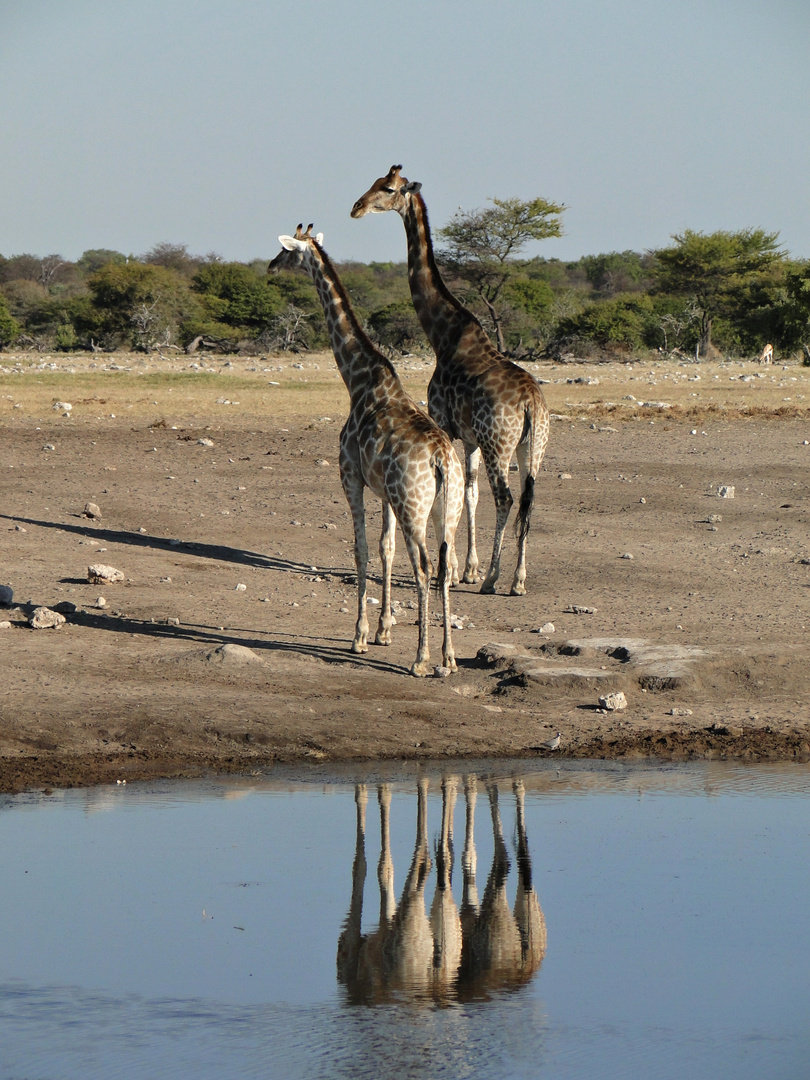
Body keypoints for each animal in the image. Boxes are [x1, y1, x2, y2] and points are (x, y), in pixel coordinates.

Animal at [270, 224, 462, 673]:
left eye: (285, 251)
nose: (269, 268)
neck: (356, 380)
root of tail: (442, 460)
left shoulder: (351, 478)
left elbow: (359, 551)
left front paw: (358, 637)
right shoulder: (385, 493)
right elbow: (384, 549)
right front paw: (384, 630)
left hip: (414, 507)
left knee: (425, 567)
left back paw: (421, 659)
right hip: (449, 509)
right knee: (447, 566)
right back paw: (448, 657)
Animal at [349, 164, 552, 596]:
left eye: (386, 188)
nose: (356, 207)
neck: (442, 335)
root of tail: (531, 404)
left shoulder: (446, 423)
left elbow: (452, 497)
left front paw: (457, 570)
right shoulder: (470, 436)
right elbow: (469, 493)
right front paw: (468, 568)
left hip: (499, 444)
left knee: (506, 499)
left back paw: (493, 579)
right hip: (532, 447)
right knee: (528, 499)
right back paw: (518, 580)